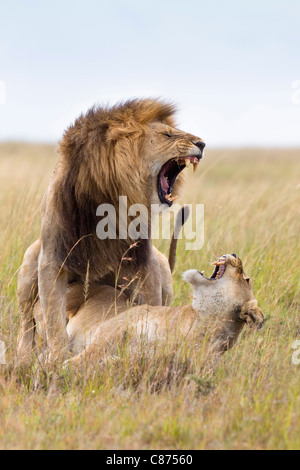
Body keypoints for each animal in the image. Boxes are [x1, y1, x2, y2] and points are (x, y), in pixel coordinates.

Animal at [17, 100, 205, 360]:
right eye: (168, 134)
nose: (202, 144)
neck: (112, 198)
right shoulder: (52, 258)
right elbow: (53, 318)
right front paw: (56, 357)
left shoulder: (143, 260)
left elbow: (150, 302)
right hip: (29, 261)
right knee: (27, 322)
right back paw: (24, 355)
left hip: (162, 269)